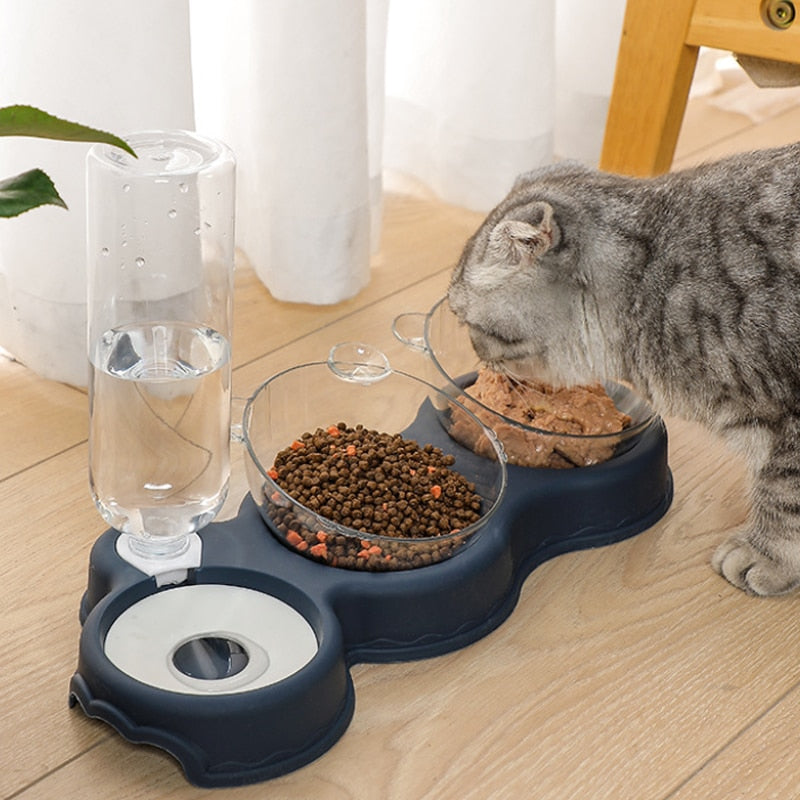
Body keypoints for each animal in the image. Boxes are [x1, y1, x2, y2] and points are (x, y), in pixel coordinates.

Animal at [450, 142, 800, 592]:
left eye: (468, 323)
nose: (476, 354)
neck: (654, 291)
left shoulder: (788, 420)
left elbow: (782, 497)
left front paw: (766, 556)